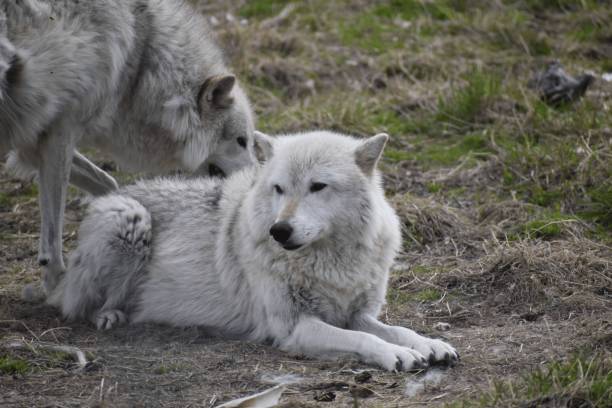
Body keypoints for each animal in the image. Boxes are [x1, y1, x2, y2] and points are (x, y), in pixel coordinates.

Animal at [0, 0, 255, 294]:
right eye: (242, 141)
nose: (255, 181)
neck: (140, 62)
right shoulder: (60, 132)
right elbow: (53, 231)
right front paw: (55, 283)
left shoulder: (33, 143)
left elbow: (108, 182)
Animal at [49, 130, 460, 370]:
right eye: (279, 188)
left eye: (318, 186)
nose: (279, 230)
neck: (329, 263)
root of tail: (119, 191)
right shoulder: (294, 326)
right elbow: (366, 339)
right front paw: (397, 355)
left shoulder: (356, 313)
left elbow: (396, 328)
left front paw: (429, 344)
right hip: (129, 220)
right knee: (80, 304)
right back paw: (110, 316)